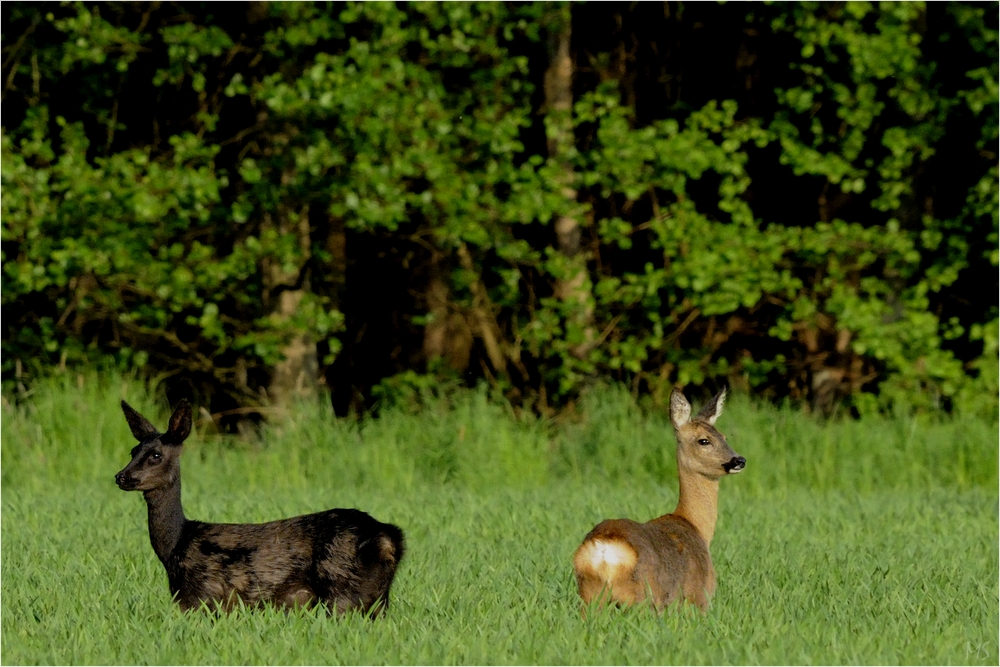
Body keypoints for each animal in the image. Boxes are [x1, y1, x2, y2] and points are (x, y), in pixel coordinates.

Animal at [119, 396, 408, 616]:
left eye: (156, 455)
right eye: (133, 451)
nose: (121, 476)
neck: (175, 546)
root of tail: (389, 539)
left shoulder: (199, 596)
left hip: (342, 588)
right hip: (377, 600)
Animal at [576, 388, 748, 612]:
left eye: (724, 436)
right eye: (704, 440)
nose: (739, 460)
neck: (695, 526)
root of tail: (604, 551)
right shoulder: (699, 597)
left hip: (589, 596)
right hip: (643, 597)